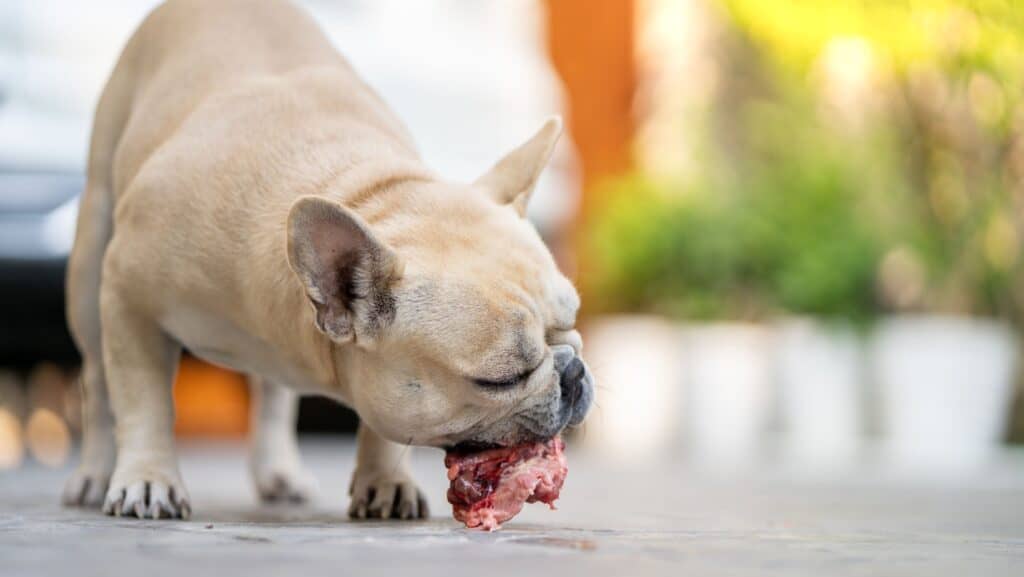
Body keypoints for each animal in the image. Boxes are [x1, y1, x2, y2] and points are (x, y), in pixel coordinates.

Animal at [59, 0, 598, 520]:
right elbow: (142, 400)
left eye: (572, 325)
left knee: (273, 395)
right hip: (91, 271)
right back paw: (95, 474)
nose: (573, 371)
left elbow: (383, 426)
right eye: (501, 379)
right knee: (98, 382)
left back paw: (279, 471)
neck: (364, 191)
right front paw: (148, 478)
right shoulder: (128, 296)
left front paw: (385, 482)